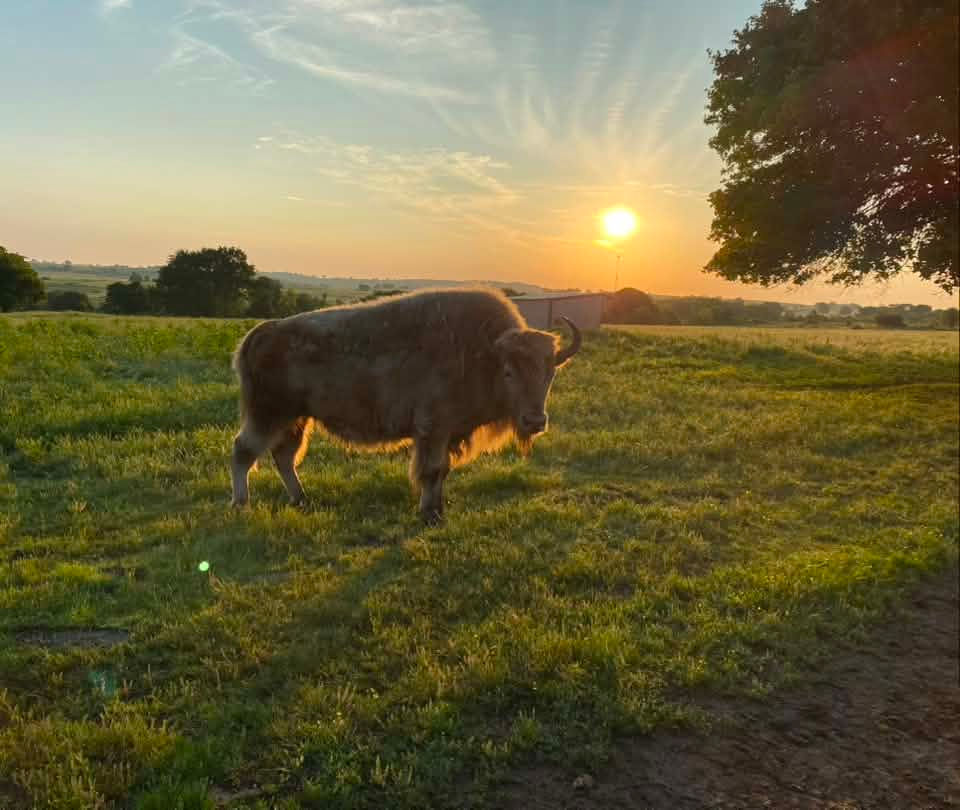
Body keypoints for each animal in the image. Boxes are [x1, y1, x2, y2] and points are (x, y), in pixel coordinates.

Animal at [230, 287, 581, 522]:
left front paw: (439, 508)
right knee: (244, 451)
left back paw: (302, 500)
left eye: (550, 373)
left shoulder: (448, 433)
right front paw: (429, 514)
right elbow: (432, 470)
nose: (535, 421)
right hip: (268, 414)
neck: (480, 354)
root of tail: (263, 332)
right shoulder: (433, 430)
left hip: (296, 419)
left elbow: (443, 471)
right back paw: (241, 504)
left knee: (284, 456)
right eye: (509, 372)